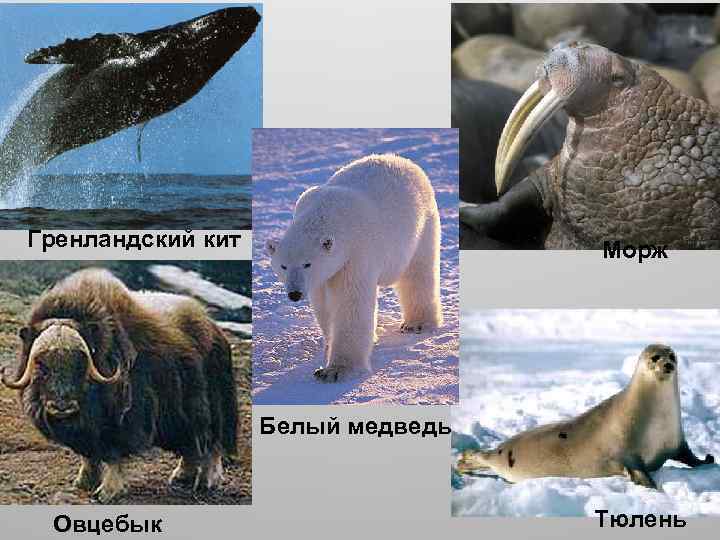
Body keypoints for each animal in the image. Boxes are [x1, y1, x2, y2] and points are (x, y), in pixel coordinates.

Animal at [265, 153, 444, 382]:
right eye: (283, 266)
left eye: (307, 263)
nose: (294, 294)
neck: (325, 214)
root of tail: (403, 160)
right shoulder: (321, 276)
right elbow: (324, 303)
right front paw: (330, 344)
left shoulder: (356, 253)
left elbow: (350, 302)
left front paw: (334, 370)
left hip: (422, 224)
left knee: (418, 272)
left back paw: (418, 323)